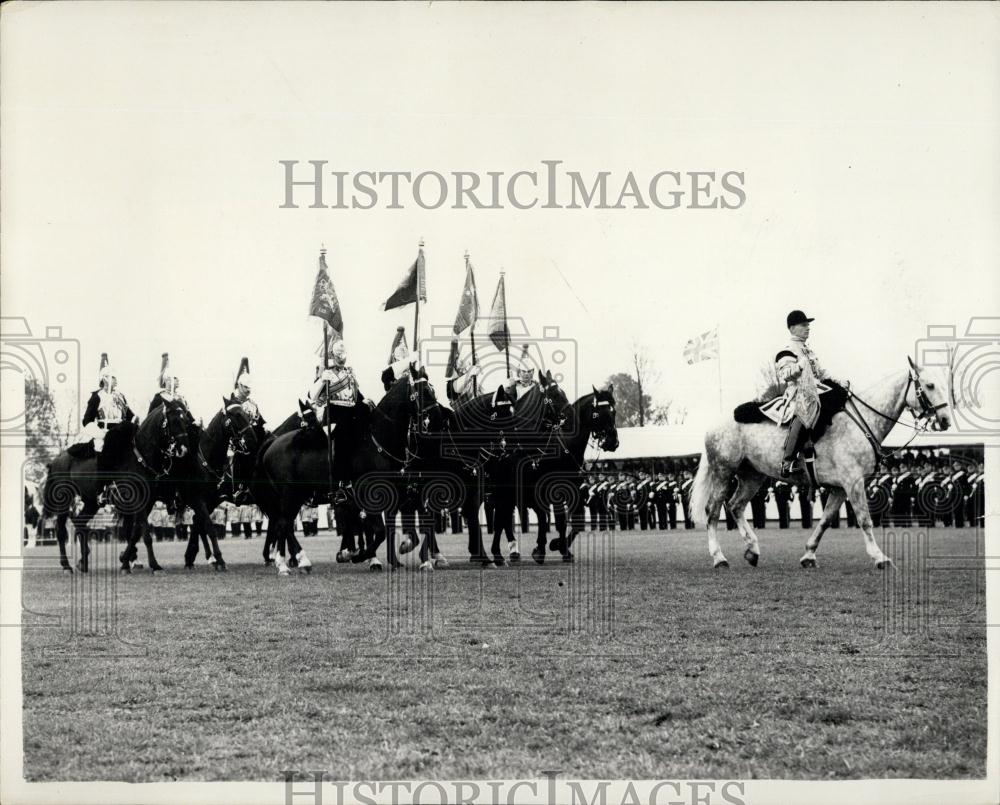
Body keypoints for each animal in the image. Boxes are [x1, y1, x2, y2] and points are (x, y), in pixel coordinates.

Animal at [40, 398, 191, 568]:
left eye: (186, 420)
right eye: (174, 420)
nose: (184, 449)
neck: (140, 457)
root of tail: (56, 460)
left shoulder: (149, 501)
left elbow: (135, 533)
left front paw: (126, 560)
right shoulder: (138, 499)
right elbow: (145, 533)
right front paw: (153, 565)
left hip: (91, 501)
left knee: (79, 522)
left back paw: (83, 561)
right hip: (64, 499)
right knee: (60, 530)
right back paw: (67, 565)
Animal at [692, 354, 948, 568]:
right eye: (929, 385)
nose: (945, 420)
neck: (862, 422)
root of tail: (714, 424)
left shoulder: (839, 489)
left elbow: (825, 520)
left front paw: (808, 555)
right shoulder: (853, 483)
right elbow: (865, 520)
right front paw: (880, 557)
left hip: (752, 475)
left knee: (736, 505)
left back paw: (752, 550)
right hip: (723, 472)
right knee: (712, 512)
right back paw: (719, 558)